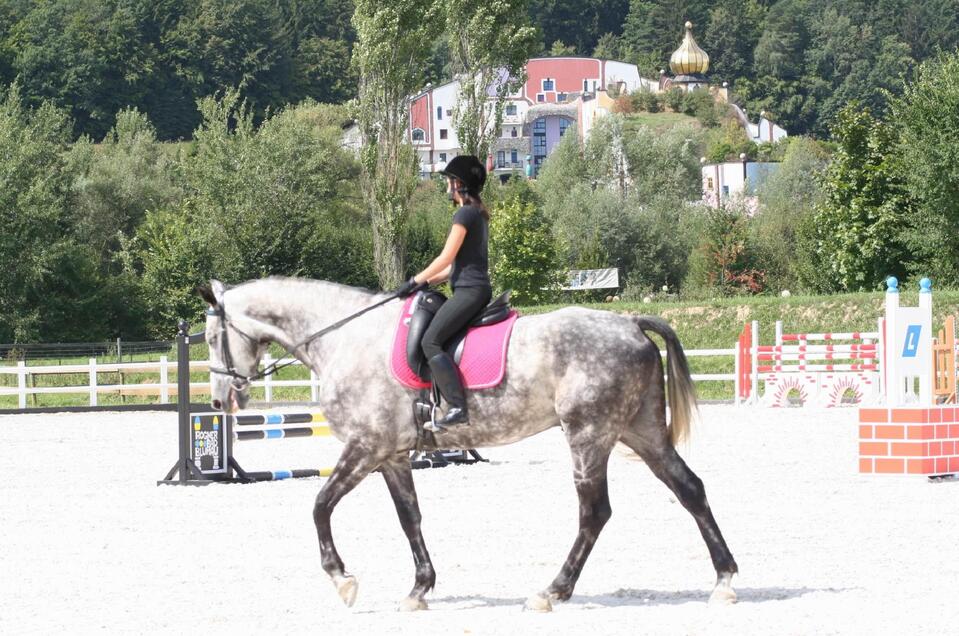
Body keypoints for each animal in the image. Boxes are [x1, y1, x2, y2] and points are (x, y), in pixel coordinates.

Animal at [197, 276, 738, 612]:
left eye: (211, 336)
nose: (222, 400)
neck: (343, 338)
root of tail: (629, 322)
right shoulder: (392, 455)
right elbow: (409, 518)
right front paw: (418, 589)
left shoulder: (365, 447)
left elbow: (319, 504)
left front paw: (343, 580)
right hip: (641, 431)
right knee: (689, 488)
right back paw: (725, 581)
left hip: (589, 433)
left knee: (595, 512)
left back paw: (552, 591)